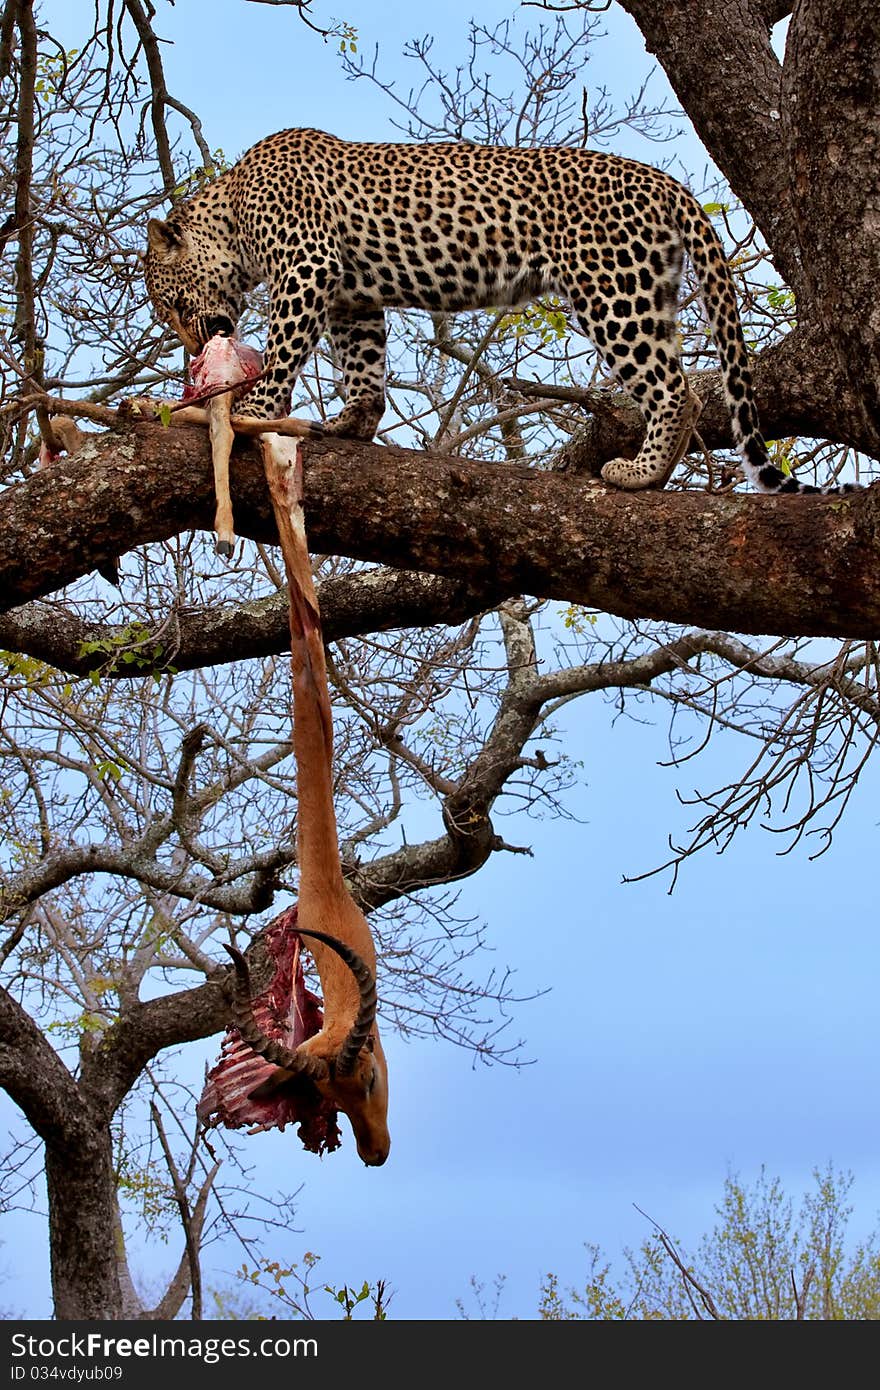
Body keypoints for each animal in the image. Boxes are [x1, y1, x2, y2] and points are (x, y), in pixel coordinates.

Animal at [143, 125, 850, 494]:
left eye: (172, 303)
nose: (192, 346)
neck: (233, 212)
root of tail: (664, 181)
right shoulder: (351, 297)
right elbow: (364, 365)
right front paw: (354, 423)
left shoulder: (307, 267)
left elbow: (286, 346)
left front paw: (256, 409)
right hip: (652, 289)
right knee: (684, 382)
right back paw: (656, 468)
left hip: (611, 290)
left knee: (678, 388)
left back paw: (639, 473)